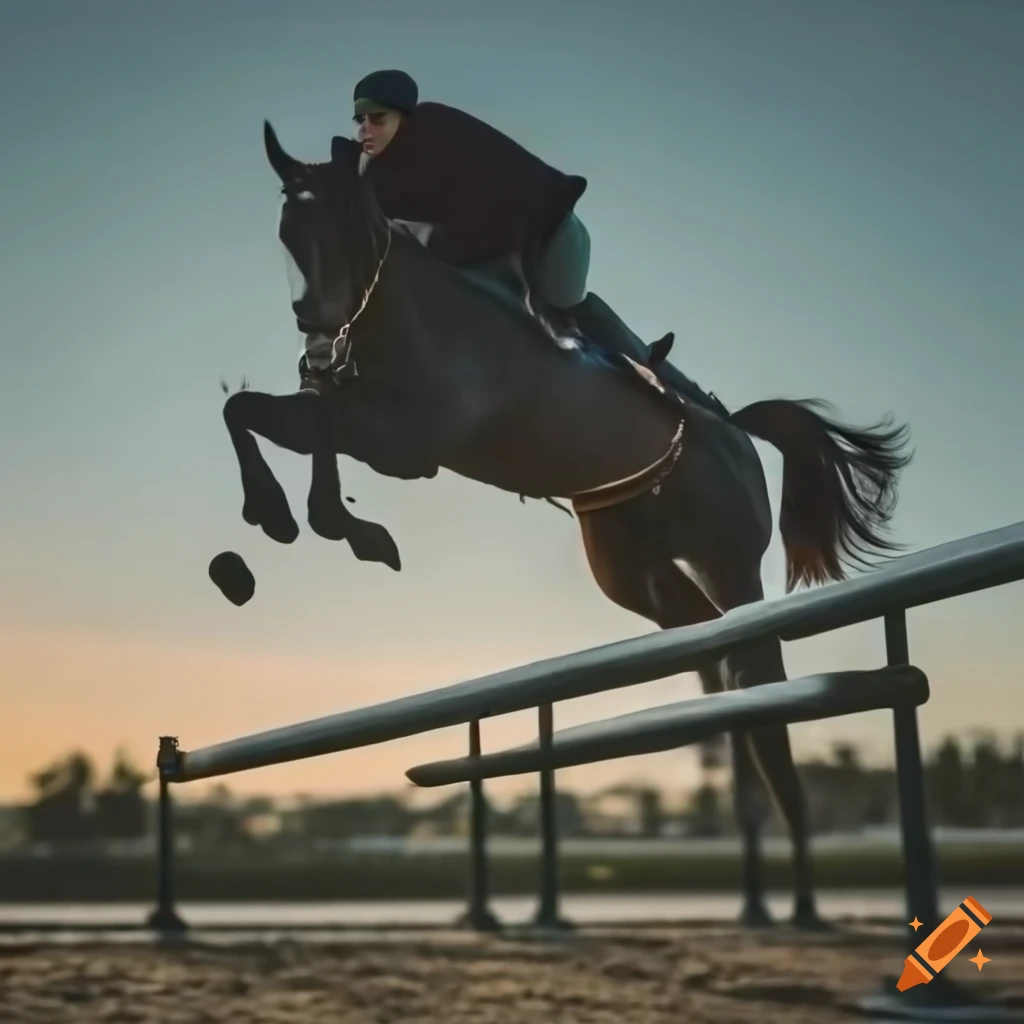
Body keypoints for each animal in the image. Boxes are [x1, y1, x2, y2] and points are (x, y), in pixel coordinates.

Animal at [222, 121, 912, 929]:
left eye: (336, 228)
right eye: (285, 233)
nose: (315, 335)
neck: (400, 306)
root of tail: (737, 432)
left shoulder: (404, 445)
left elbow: (295, 424)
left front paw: (306, 519)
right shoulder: (355, 410)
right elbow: (258, 414)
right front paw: (306, 521)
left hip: (729, 563)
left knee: (754, 665)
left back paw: (798, 882)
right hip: (635, 575)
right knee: (710, 649)